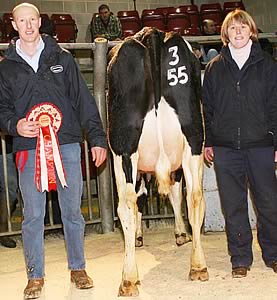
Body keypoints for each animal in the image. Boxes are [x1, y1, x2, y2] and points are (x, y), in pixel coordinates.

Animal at [106, 27, 208, 296]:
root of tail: (151, 33)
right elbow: (173, 193)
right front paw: (180, 233)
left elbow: (142, 199)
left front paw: (141, 236)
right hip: (194, 140)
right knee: (195, 197)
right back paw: (198, 266)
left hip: (123, 148)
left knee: (127, 204)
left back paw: (129, 279)